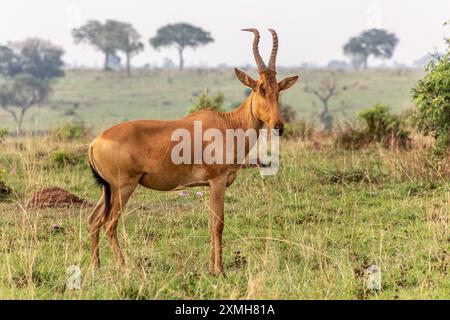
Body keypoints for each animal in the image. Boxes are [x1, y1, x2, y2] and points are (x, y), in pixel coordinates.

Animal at [87, 28, 298, 276]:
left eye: (278, 89)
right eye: (259, 88)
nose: (278, 126)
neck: (227, 123)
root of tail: (95, 142)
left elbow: (210, 223)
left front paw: (211, 268)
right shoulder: (217, 181)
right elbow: (218, 224)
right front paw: (219, 270)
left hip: (108, 189)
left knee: (94, 219)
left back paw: (96, 267)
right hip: (123, 186)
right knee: (110, 223)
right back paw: (124, 266)